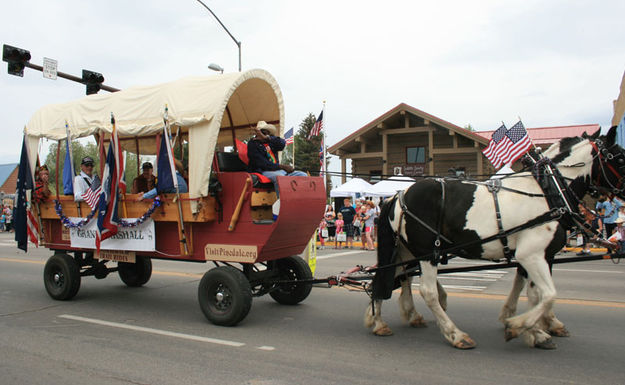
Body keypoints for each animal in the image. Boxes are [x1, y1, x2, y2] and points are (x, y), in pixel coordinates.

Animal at [364, 126, 624, 348]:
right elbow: (548, 294)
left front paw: (534, 328)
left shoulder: (537, 255)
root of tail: (398, 195)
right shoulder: (532, 254)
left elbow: (534, 293)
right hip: (428, 252)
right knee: (426, 291)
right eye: (620, 158)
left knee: (390, 277)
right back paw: (455, 334)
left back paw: (381, 321)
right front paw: (520, 326)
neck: (548, 190)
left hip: (406, 250)